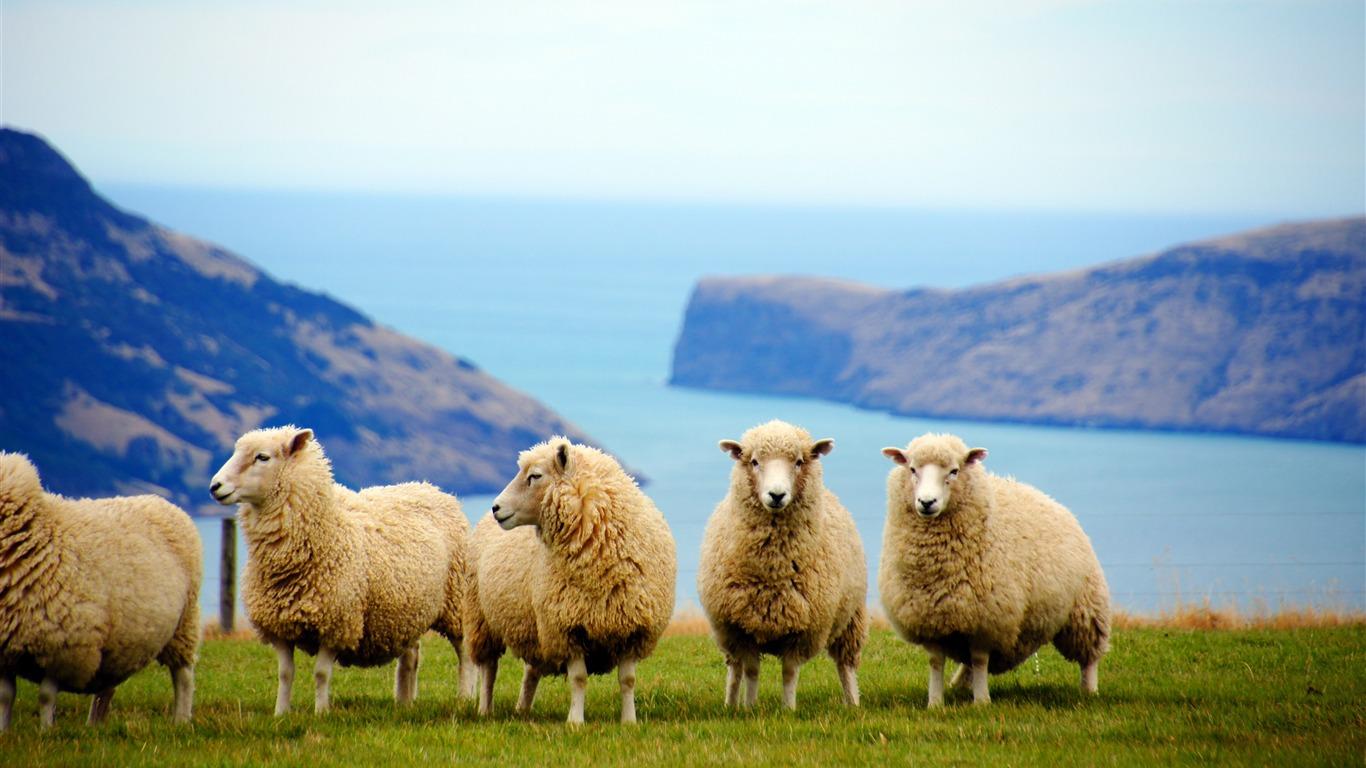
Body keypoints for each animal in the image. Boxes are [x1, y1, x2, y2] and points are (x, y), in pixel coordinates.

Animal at [0, 452, 201, 731]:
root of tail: (159, 500)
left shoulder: (63, 647)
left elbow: (46, 696)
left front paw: (46, 731)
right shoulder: (6, 651)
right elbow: (6, 697)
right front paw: (4, 731)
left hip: (183, 625)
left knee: (183, 676)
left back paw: (180, 719)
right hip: (119, 641)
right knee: (107, 687)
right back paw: (94, 725)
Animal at [210, 426, 472, 715]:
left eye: (262, 457)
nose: (215, 486)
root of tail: (430, 487)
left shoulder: (336, 623)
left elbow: (321, 673)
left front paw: (321, 713)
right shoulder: (279, 627)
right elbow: (285, 674)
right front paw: (281, 713)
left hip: (456, 601)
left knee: (464, 653)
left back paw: (465, 696)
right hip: (407, 609)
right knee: (411, 655)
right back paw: (404, 701)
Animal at [471, 436, 676, 724]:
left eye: (535, 476)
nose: (496, 508)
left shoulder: (632, 628)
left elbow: (628, 680)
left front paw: (629, 721)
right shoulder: (568, 627)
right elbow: (578, 679)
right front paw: (575, 721)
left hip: (533, 626)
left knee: (531, 671)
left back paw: (522, 709)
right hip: (483, 619)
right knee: (489, 668)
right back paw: (485, 710)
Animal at [697, 420, 868, 711]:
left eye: (799, 462)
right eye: (754, 461)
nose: (776, 495)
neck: (773, 569)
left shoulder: (803, 630)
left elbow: (789, 672)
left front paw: (788, 709)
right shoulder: (742, 628)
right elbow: (751, 670)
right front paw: (749, 708)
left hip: (851, 618)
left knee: (846, 665)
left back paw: (853, 703)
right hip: (726, 634)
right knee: (735, 670)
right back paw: (730, 704)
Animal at [878, 432, 1111, 707]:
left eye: (954, 471)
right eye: (912, 469)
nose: (926, 502)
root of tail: (1049, 499)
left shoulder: (988, 618)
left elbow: (980, 660)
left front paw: (982, 702)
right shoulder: (930, 618)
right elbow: (936, 661)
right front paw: (935, 703)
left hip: (1085, 608)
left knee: (1090, 657)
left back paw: (1090, 691)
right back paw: (959, 685)